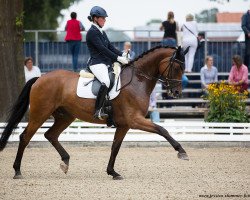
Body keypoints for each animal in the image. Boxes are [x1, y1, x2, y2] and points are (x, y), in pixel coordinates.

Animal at [0, 45, 188, 180]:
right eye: (177, 67)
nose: (177, 93)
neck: (137, 80)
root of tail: (40, 78)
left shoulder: (124, 124)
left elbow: (115, 147)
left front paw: (112, 172)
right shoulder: (134, 120)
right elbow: (162, 129)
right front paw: (181, 151)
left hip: (65, 116)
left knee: (50, 135)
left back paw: (65, 161)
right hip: (40, 113)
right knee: (25, 137)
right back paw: (17, 171)